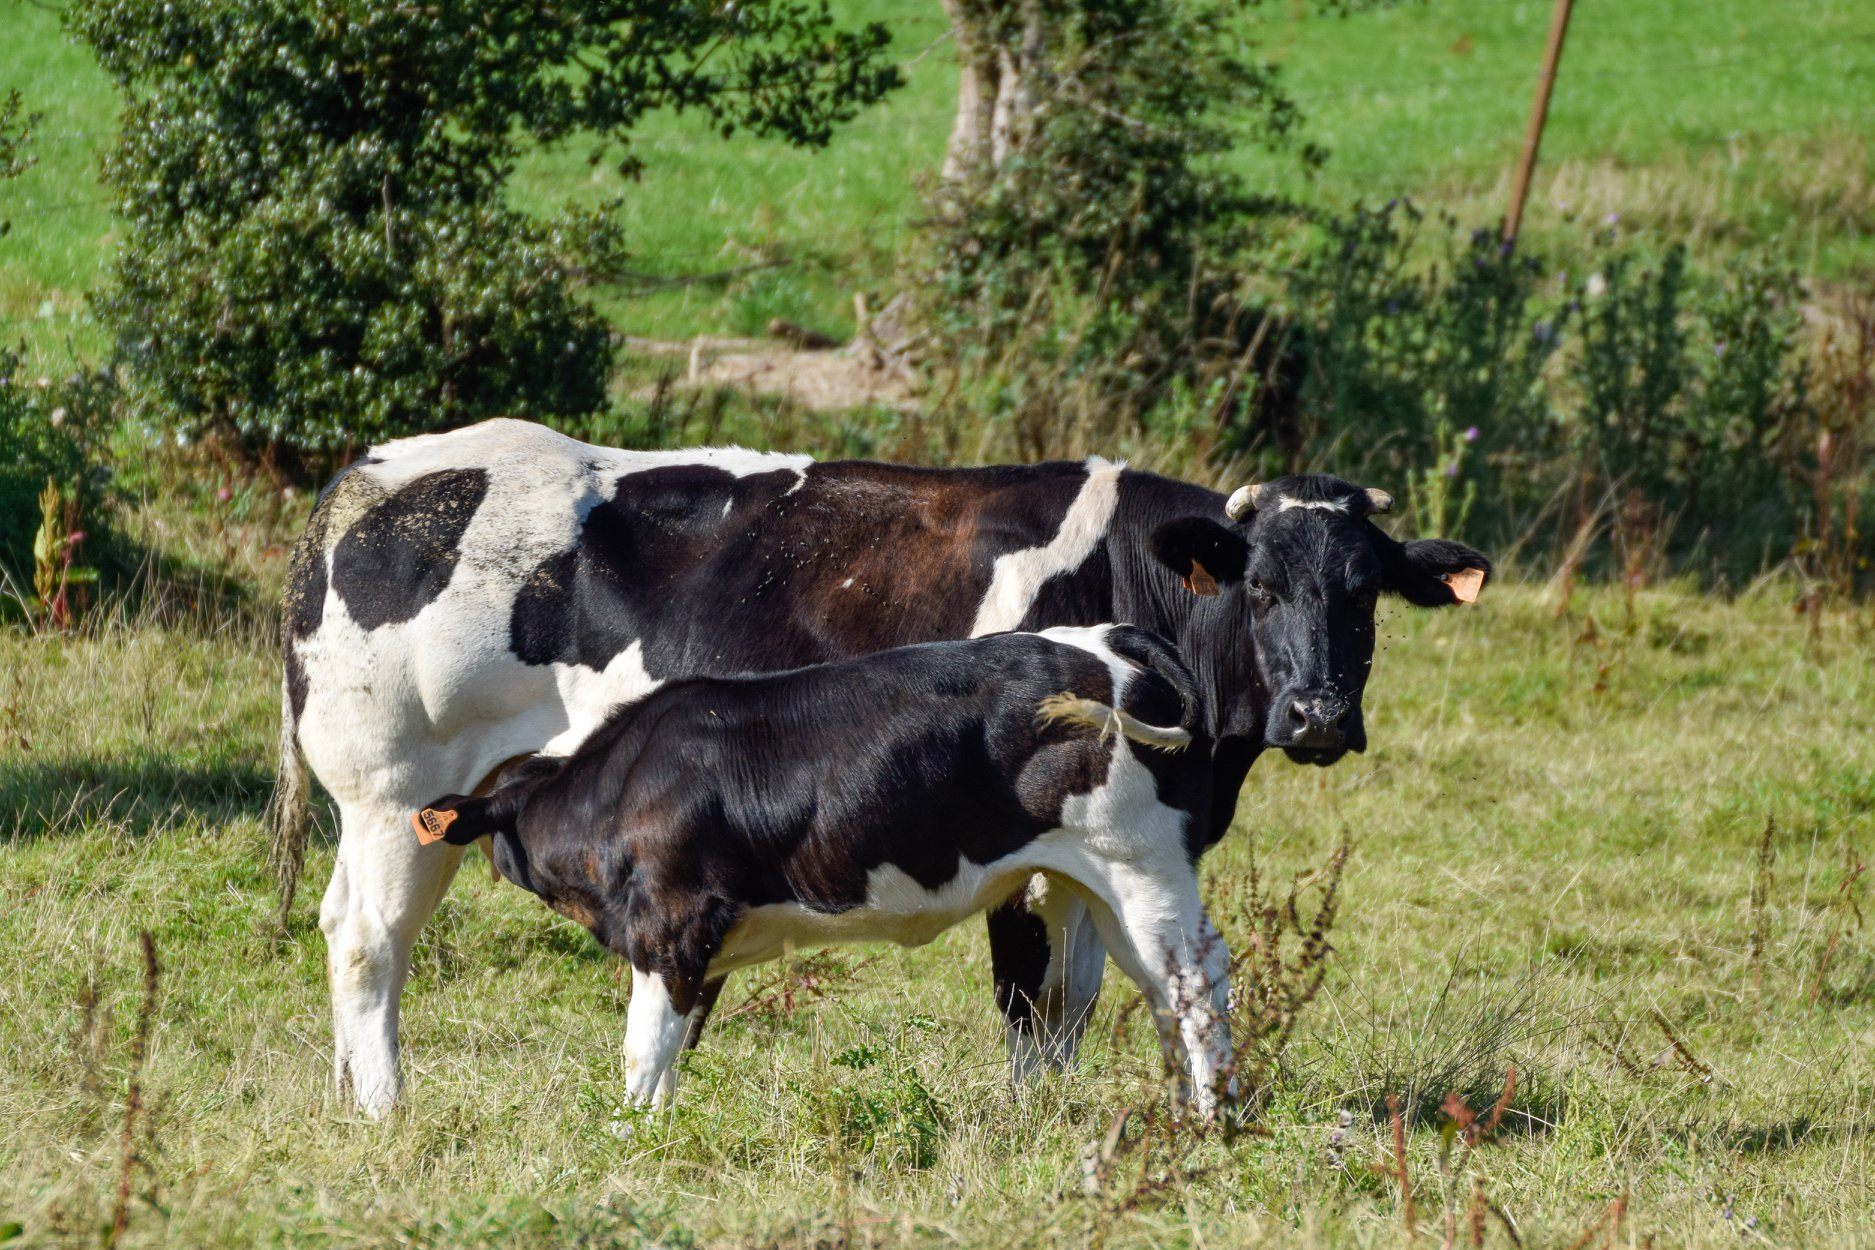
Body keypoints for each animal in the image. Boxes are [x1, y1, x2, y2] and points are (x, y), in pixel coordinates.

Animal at [405, 625, 1237, 1116]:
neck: (616, 784)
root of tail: (1108, 636)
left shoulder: (671, 924)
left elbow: (646, 1048)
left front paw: (630, 1134)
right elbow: (671, 1049)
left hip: (1143, 864)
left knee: (1198, 985)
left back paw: (1212, 1117)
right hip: (1092, 885)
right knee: (1152, 992)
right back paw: (1182, 1111)